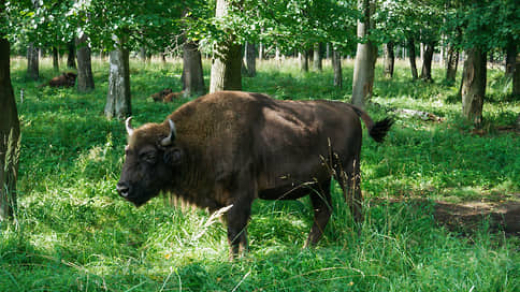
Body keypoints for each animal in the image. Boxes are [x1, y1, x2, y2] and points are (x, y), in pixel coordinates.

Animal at [118, 90, 392, 258]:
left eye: (149, 155)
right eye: (127, 151)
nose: (122, 188)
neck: (190, 145)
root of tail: (348, 108)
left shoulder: (239, 197)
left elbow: (235, 232)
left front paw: (236, 262)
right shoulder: (222, 202)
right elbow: (237, 232)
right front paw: (243, 258)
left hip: (348, 170)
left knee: (354, 204)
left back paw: (357, 241)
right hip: (319, 182)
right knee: (324, 210)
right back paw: (306, 248)